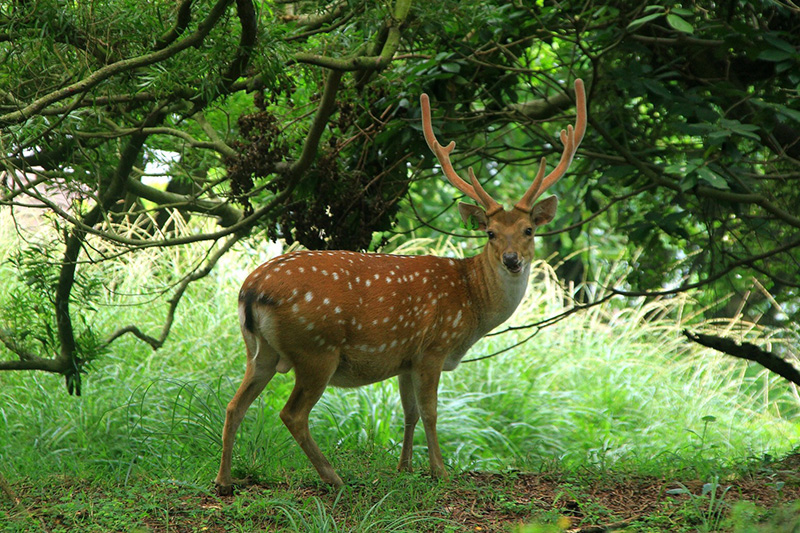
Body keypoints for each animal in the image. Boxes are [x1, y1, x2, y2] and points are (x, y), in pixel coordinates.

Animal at [216, 77, 584, 492]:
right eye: (490, 232)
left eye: (528, 230)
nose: (511, 260)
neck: (472, 302)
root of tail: (251, 290)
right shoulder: (433, 347)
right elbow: (431, 411)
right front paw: (439, 471)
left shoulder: (406, 357)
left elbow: (408, 413)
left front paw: (404, 468)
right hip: (316, 349)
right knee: (291, 413)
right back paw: (334, 477)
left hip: (259, 350)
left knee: (234, 404)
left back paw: (225, 480)